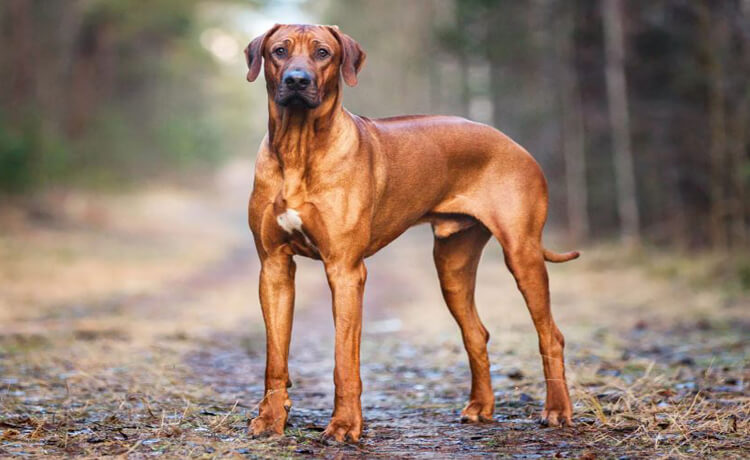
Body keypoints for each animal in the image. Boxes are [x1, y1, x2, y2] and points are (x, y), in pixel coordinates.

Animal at [244, 25, 580, 442]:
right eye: (279, 51)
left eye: (323, 53)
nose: (296, 80)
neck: (298, 147)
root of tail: (514, 143)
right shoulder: (273, 268)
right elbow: (275, 358)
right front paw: (271, 419)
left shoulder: (345, 270)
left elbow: (344, 360)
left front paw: (344, 425)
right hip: (452, 264)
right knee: (477, 333)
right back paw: (480, 407)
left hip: (522, 253)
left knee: (551, 334)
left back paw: (557, 410)